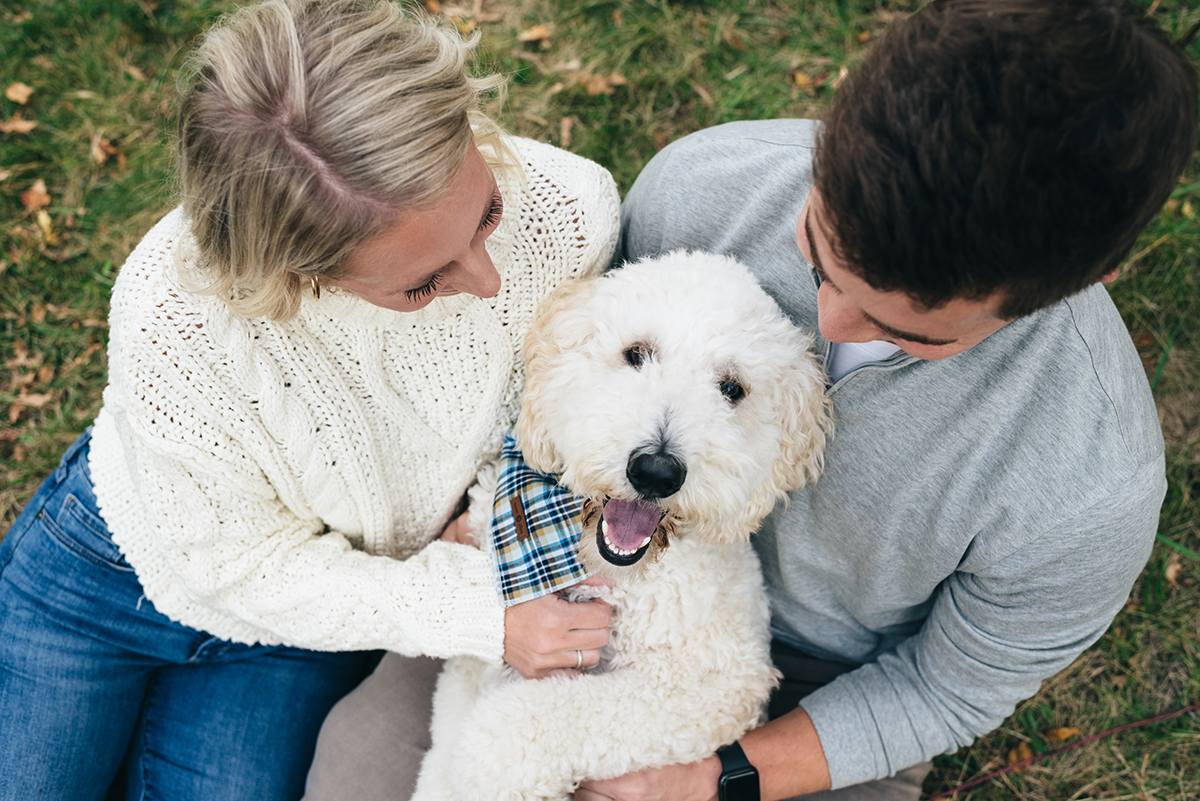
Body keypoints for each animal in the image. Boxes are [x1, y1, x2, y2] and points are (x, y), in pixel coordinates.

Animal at [412, 251, 835, 801]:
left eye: (731, 389)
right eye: (636, 354)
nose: (656, 471)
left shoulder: (715, 685)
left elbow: (509, 729)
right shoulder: (472, 662)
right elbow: (446, 744)